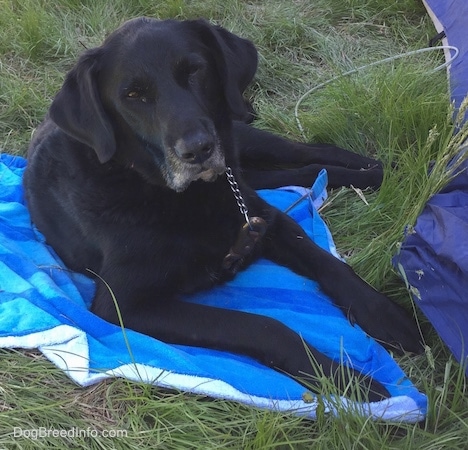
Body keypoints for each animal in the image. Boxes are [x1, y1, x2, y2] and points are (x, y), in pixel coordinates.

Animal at [23, 17, 420, 400]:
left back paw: (383, 169)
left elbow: (329, 263)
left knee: (309, 152)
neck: (179, 196)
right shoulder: (124, 304)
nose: (197, 150)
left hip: (246, 141)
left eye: (195, 70)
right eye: (133, 95)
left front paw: (386, 315)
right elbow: (264, 326)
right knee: (301, 170)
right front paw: (345, 378)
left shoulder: (267, 220)